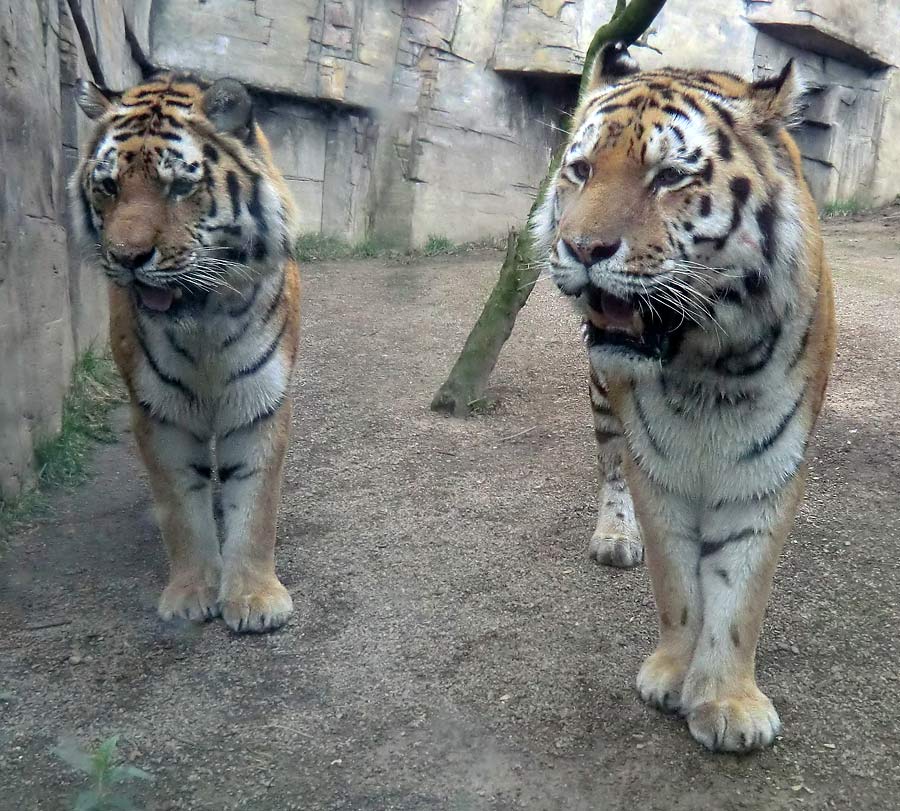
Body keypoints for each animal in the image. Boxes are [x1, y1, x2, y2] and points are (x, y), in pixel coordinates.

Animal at [70, 74, 302, 636]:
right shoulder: (160, 412)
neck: (204, 324)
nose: (128, 258)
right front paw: (192, 593)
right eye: (109, 186)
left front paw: (255, 599)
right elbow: (180, 507)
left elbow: (256, 503)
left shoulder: (260, 399)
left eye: (179, 186)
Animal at [536, 44, 836, 752]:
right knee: (609, 466)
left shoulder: (768, 467)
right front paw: (673, 675)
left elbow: (739, 593)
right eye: (581, 171)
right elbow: (677, 582)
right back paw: (614, 536)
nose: (581, 249)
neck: (708, 364)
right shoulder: (658, 467)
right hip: (603, 399)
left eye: (669, 177)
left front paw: (727, 703)